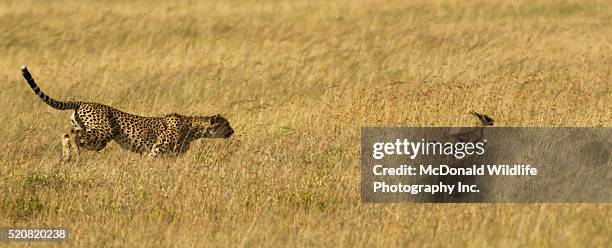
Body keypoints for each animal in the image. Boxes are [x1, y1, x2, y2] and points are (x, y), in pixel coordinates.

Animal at [20, 65, 235, 161]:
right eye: (227, 124)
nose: (232, 131)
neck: (192, 127)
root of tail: (83, 101)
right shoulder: (156, 150)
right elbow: (150, 162)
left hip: (95, 136)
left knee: (66, 133)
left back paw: (66, 157)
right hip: (102, 134)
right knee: (72, 134)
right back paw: (75, 154)